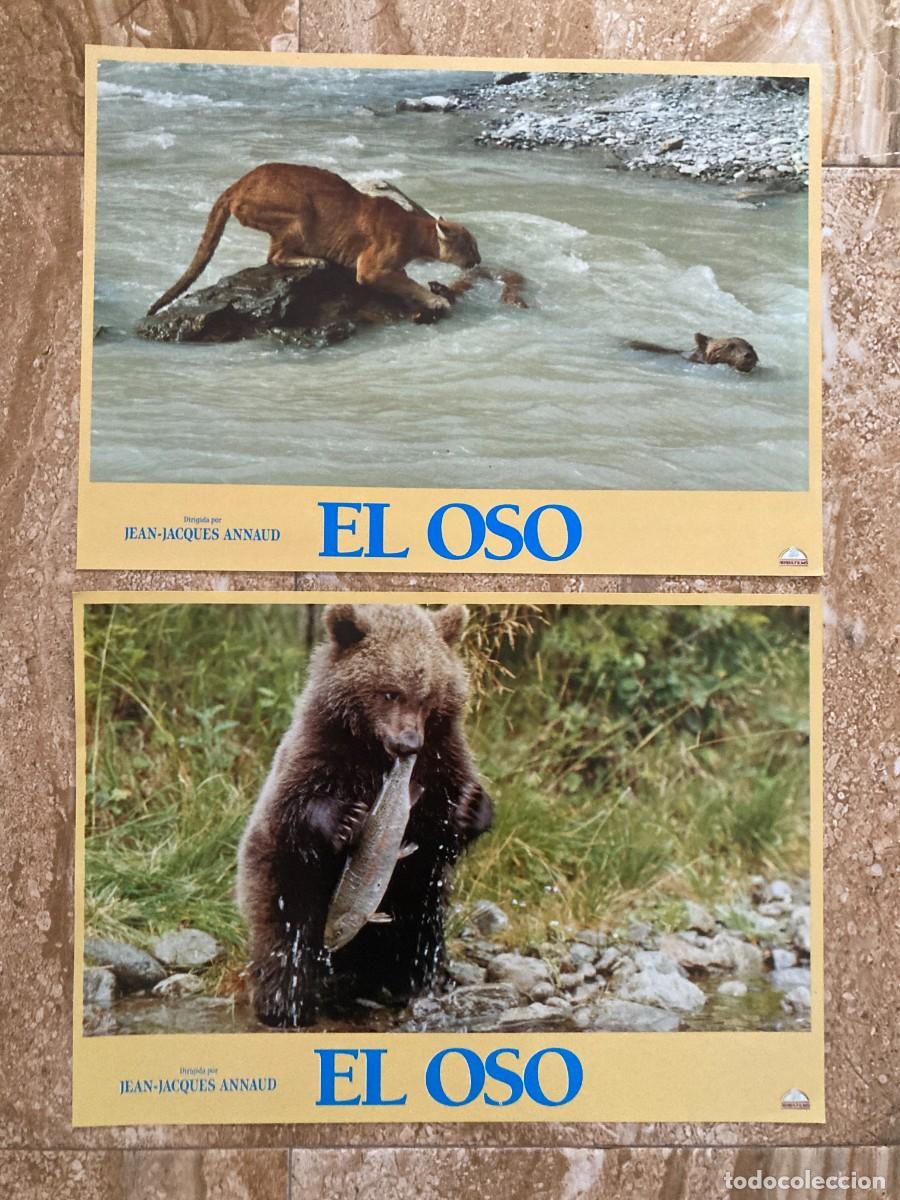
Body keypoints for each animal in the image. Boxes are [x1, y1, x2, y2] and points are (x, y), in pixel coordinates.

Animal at [236, 602, 493, 1028]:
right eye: (389, 692)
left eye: (427, 697)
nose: (409, 743)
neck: (374, 753)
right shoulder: (319, 748)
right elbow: (294, 805)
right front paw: (345, 819)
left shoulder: (441, 758)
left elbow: (440, 829)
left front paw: (470, 808)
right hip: (282, 878)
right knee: (286, 935)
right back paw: (285, 1005)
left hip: (415, 890)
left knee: (415, 934)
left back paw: (405, 983)